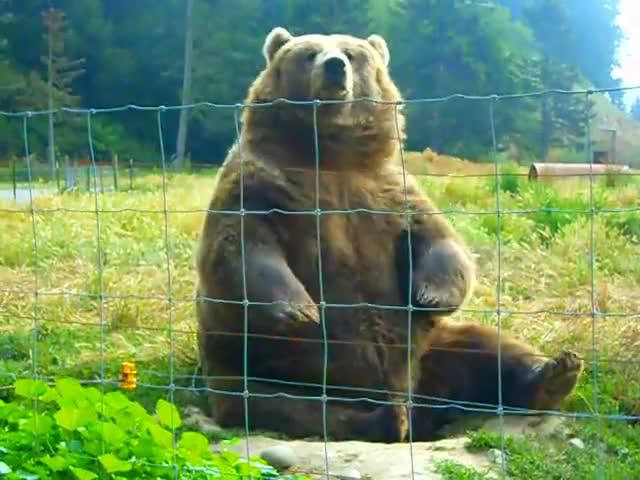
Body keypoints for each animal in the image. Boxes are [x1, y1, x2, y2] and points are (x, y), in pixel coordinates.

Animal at [192, 27, 584, 442]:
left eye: (352, 53)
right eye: (310, 52)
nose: (335, 67)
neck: (330, 155)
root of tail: (418, 398)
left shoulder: (391, 193)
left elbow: (440, 241)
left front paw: (430, 295)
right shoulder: (262, 187)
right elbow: (239, 246)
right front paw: (299, 310)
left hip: (431, 347)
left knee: (487, 349)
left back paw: (556, 372)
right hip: (259, 365)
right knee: (285, 405)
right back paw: (382, 418)